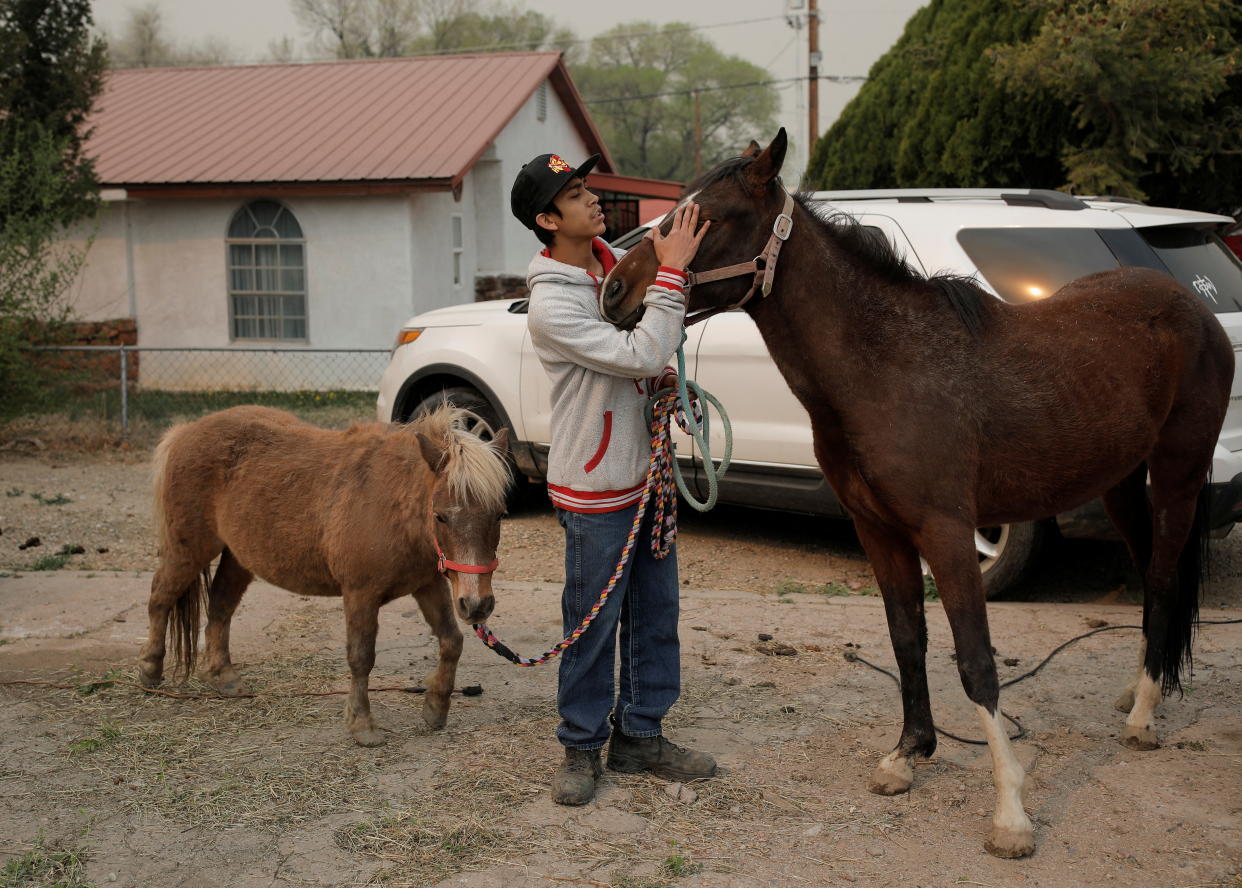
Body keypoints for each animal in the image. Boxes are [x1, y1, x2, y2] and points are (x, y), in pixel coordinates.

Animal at [142, 407, 511, 745]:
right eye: (441, 516)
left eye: (499, 514)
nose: (476, 605)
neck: (391, 501)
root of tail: (185, 431)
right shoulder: (361, 594)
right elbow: (361, 657)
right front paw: (362, 726)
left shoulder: (427, 584)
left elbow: (451, 642)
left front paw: (435, 709)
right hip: (188, 551)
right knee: (160, 599)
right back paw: (150, 671)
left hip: (237, 557)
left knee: (220, 607)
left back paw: (224, 678)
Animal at [598, 128, 1232, 859]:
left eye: (709, 218)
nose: (614, 291)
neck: (886, 366)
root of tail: (1192, 306)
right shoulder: (879, 531)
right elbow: (908, 639)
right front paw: (908, 754)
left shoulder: (947, 534)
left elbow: (976, 661)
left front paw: (1010, 813)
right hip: (1121, 484)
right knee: (1151, 577)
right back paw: (1134, 693)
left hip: (1177, 475)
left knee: (1161, 580)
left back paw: (1144, 718)